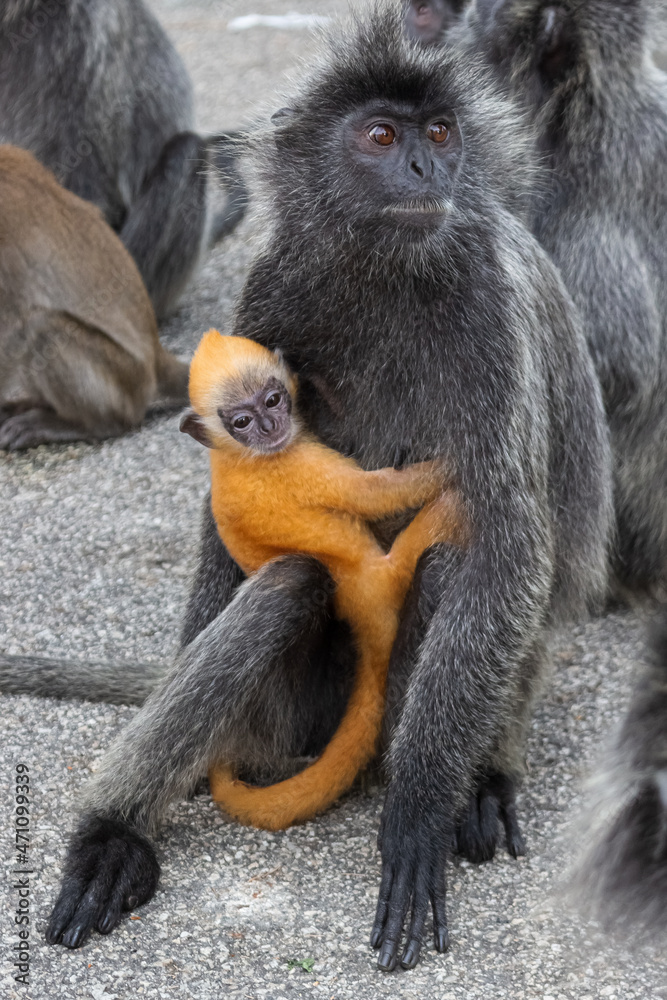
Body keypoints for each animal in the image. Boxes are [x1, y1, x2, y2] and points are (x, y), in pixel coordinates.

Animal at [180, 329, 467, 830]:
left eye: (273, 399)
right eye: (241, 421)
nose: (269, 427)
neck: (237, 457)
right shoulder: (300, 463)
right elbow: (377, 492)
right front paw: (451, 464)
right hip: (389, 573)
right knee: (445, 514)